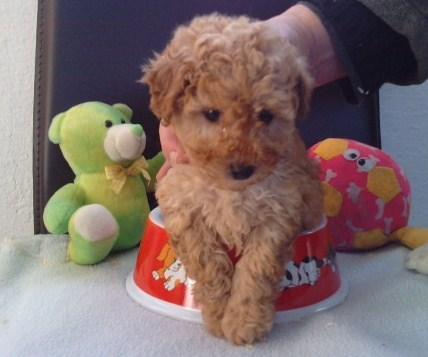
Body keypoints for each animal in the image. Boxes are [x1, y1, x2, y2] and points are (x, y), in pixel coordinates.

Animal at [142, 14, 322, 344]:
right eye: (212, 113)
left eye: (266, 115)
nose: (241, 170)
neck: (231, 190)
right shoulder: (184, 209)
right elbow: (207, 263)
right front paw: (216, 314)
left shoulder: (279, 213)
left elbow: (256, 268)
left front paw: (244, 321)